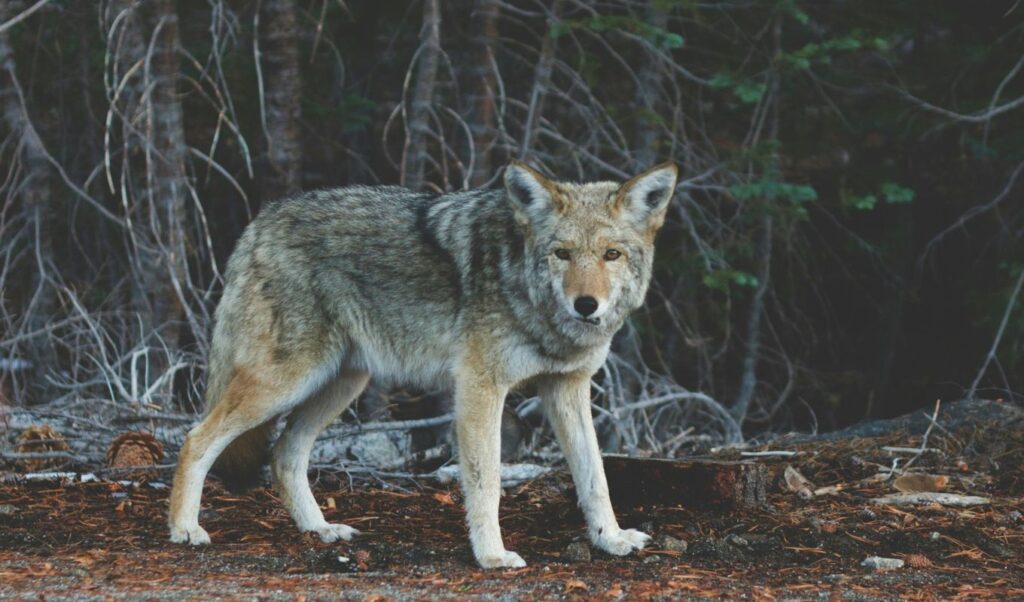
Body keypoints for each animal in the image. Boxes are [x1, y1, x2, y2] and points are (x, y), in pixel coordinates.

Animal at [168, 160, 679, 568]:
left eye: (611, 254)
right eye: (563, 253)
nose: (586, 305)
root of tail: (261, 220)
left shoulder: (567, 389)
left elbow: (596, 477)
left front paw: (611, 539)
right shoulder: (480, 388)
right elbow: (487, 481)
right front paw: (492, 556)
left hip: (340, 384)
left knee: (284, 454)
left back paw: (321, 530)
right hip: (287, 381)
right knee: (196, 438)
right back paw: (185, 529)